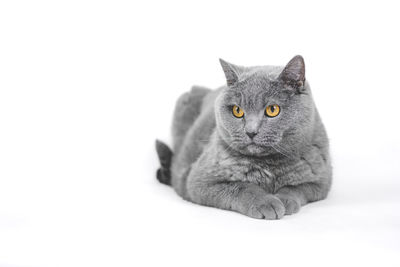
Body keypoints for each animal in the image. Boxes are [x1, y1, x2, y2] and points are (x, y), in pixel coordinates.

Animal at [155, 56, 332, 220]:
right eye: (237, 111)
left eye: (272, 110)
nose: (251, 132)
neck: (268, 165)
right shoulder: (198, 180)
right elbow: (242, 187)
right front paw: (266, 202)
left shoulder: (321, 181)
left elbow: (295, 188)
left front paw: (284, 200)